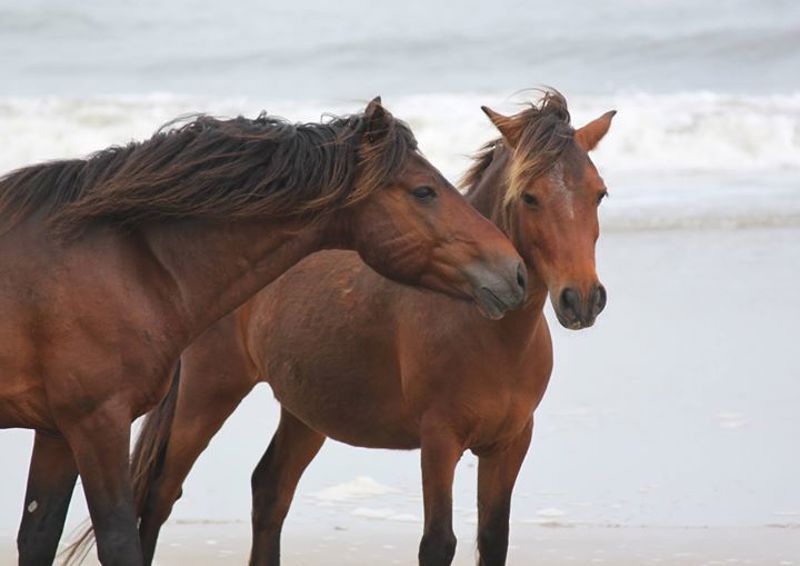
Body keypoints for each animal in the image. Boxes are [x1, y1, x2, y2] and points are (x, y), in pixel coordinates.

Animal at [1, 97, 528, 566]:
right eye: (424, 191)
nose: (516, 271)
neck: (120, 260)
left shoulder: (57, 431)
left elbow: (37, 537)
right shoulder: (97, 423)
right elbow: (117, 542)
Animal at [125, 90, 615, 566]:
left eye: (599, 194)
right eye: (530, 196)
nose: (581, 298)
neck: (488, 332)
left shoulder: (510, 444)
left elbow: (494, 540)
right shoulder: (439, 441)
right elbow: (438, 543)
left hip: (305, 412)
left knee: (270, 491)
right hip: (210, 392)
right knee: (160, 494)